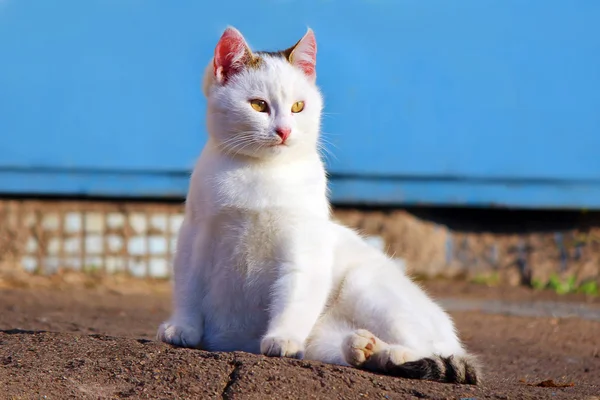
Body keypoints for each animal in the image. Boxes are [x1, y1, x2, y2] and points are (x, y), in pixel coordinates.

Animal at [157, 26, 480, 382]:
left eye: (299, 106)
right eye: (258, 105)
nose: (284, 131)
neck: (262, 172)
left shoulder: (303, 244)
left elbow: (294, 292)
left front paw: (283, 337)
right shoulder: (195, 233)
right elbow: (188, 283)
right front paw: (182, 327)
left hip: (367, 288)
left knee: (429, 350)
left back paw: (392, 353)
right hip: (322, 339)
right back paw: (366, 350)